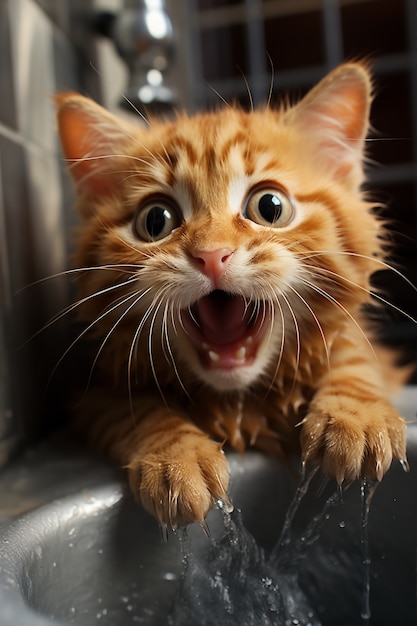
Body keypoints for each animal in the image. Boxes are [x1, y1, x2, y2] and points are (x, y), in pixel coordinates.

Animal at [56, 63, 406, 528]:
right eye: (156, 220)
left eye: (270, 207)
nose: (211, 255)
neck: (239, 400)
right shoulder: (95, 393)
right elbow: (139, 411)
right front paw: (176, 455)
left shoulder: (371, 352)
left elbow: (353, 354)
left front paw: (357, 415)